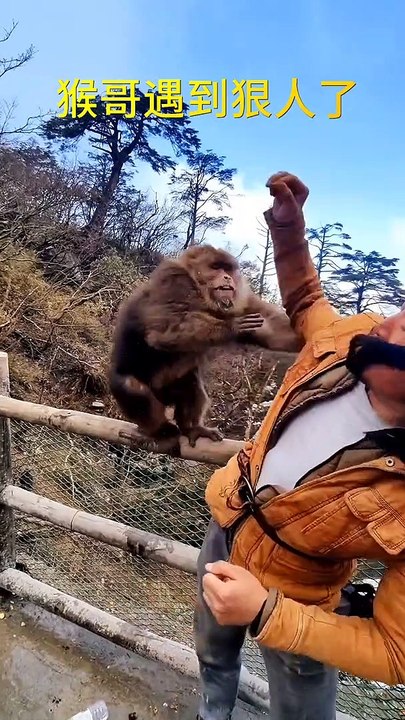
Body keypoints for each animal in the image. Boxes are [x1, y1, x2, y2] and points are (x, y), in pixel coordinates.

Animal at [108, 245, 302, 452]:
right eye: (216, 267)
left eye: (227, 269)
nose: (227, 278)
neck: (200, 291)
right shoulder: (174, 282)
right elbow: (165, 330)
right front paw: (232, 327)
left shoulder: (242, 299)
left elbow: (273, 331)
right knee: (132, 386)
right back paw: (161, 432)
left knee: (190, 383)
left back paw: (191, 428)